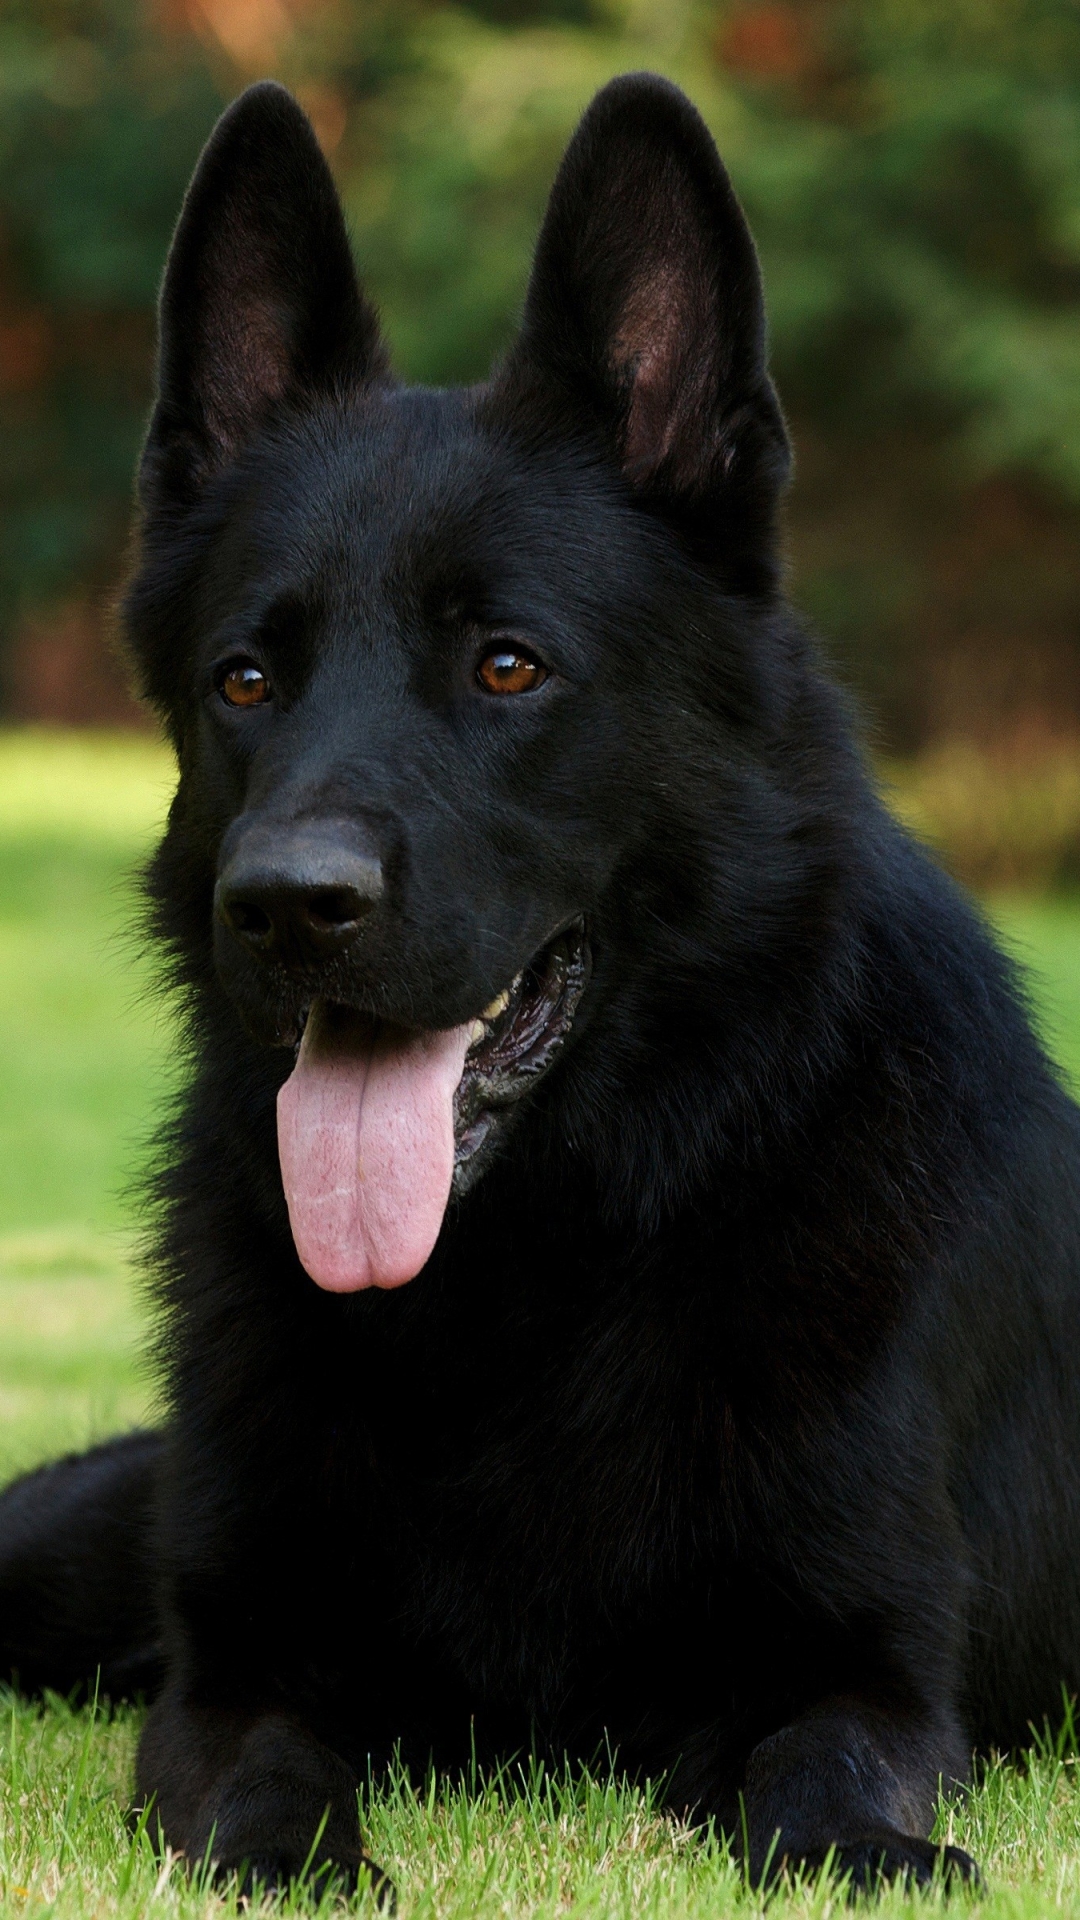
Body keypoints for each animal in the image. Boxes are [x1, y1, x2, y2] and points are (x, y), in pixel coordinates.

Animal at [2, 71, 1076, 1889]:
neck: (541, 1283)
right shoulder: (230, 1672)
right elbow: (260, 1798)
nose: (285, 905)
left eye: (508, 665)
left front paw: (873, 1854)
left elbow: (824, 1792)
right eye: (245, 679)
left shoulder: (861, 1670)